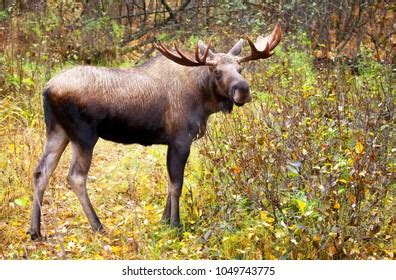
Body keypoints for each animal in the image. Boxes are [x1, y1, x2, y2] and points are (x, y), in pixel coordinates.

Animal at [27, 21, 282, 238]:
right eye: (217, 72)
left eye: (240, 68)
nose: (243, 90)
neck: (204, 100)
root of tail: (47, 89)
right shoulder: (181, 138)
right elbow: (177, 184)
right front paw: (176, 225)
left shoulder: (172, 142)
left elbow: (170, 183)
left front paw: (164, 220)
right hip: (84, 135)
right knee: (76, 177)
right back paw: (98, 226)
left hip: (57, 130)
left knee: (41, 171)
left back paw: (35, 230)